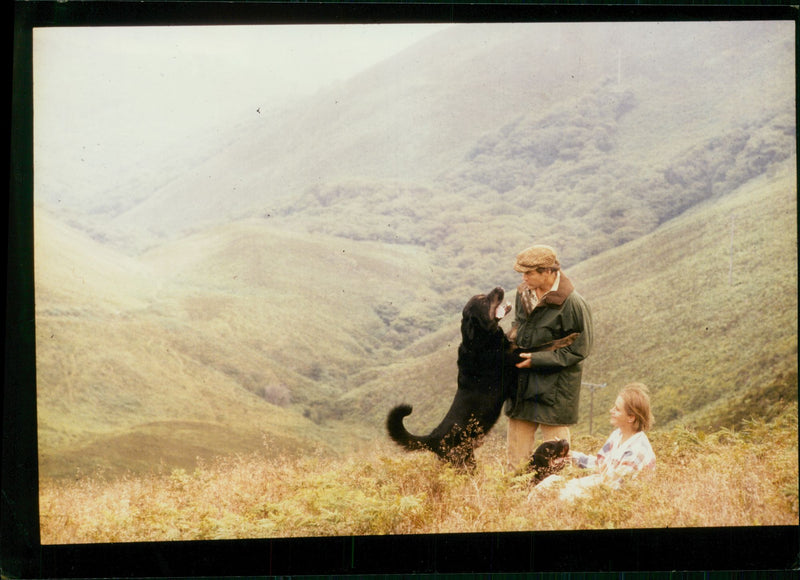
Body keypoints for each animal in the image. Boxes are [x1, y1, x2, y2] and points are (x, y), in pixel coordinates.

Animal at [386, 286, 580, 472]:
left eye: (482, 295)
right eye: (485, 301)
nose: (499, 287)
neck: (481, 339)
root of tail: (433, 437)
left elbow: (513, 333)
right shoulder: (519, 356)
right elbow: (545, 345)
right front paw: (570, 337)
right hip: (461, 462)